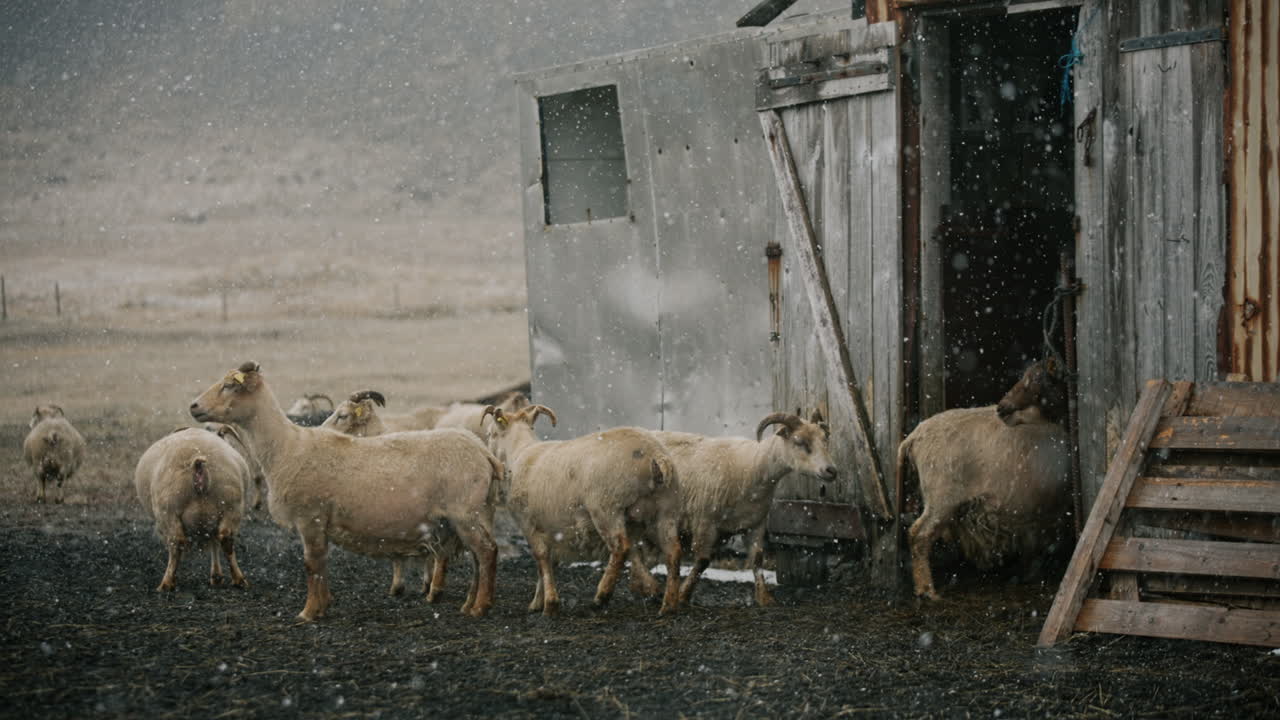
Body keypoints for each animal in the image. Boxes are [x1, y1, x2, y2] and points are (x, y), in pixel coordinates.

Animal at [134, 428, 250, 591]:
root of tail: (198, 466)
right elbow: (214, 543)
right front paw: (216, 576)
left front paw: (216, 576)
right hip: (232, 506)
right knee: (225, 539)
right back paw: (239, 579)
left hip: (168, 510)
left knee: (176, 543)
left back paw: (167, 583)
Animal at [190, 362, 501, 621]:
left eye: (229, 385)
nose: (193, 407)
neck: (287, 448)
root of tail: (484, 453)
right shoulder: (318, 522)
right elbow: (321, 564)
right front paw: (323, 605)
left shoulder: (310, 517)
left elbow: (311, 563)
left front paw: (309, 612)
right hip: (475, 514)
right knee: (477, 556)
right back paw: (469, 604)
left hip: (466, 512)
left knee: (487, 552)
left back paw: (480, 608)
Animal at [482, 403, 683, 616]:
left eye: (491, 434)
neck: (519, 453)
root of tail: (656, 455)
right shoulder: (552, 529)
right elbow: (550, 562)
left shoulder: (528, 523)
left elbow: (542, 558)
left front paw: (549, 604)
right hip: (666, 510)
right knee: (672, 551)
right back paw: (669, 604)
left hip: (606, 507)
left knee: (620, 547)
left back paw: (602, 596)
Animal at [630, 411, 837, 607]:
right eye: (799, 441)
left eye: (825, 439)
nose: (831, 471)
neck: (753, 468)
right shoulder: (705, 522)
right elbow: (703, 561)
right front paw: (683, 595)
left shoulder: (755, 523)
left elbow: (757, 559)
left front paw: (764, 598)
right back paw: (649, 586)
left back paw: (641, 585)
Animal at [900, 357, 1071, 601]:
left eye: (1038, 380)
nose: (1002, 408)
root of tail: (914, 436)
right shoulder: (1049, 503)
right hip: (941, 497)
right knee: (918, 535)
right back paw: (927, 590)